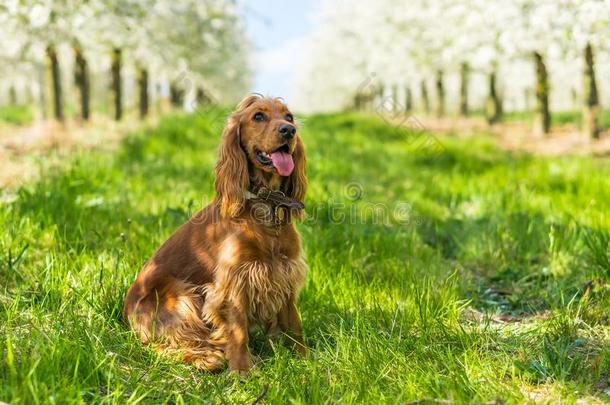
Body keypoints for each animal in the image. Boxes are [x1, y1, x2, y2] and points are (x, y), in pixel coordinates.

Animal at [123, 94, 306, 372]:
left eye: (289, 117)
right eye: (258, 116)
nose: (289, 131)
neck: (265, 208)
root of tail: (125, 314)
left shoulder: (285, 272)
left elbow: (294, 323)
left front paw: (307, 359)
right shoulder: (235, 279)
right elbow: (238, 330)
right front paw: (242, 371)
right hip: (179, 295)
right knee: (166, 346)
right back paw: (209, 358)